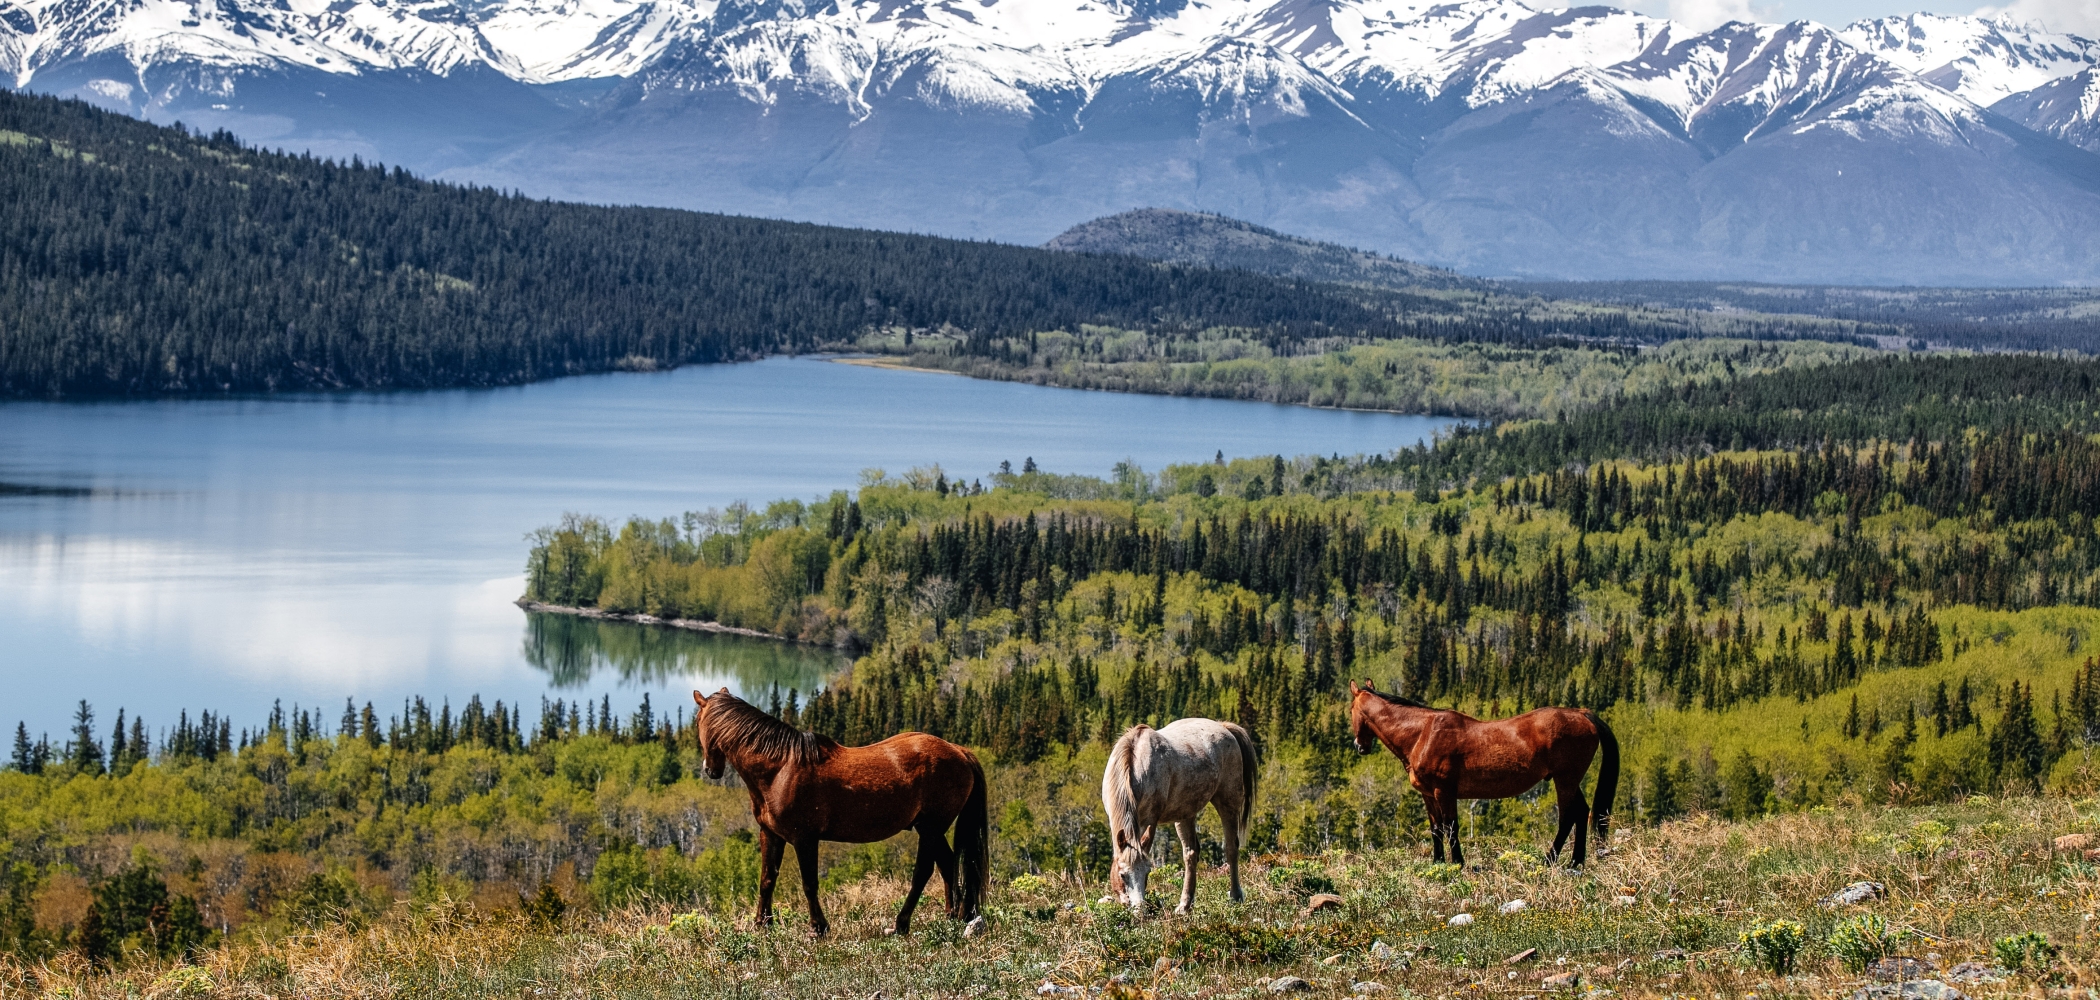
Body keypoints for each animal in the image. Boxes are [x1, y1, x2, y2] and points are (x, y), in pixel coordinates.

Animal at [688, 689, 982, 936]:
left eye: (697, 722)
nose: (710, 770)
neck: (780, 770)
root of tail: (959, 751)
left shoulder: (804, 839)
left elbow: (809, 883)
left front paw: (818, 928)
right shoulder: (770, 834)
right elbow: (767, 879)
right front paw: (762, 924)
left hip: (931, 828)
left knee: (923, 871)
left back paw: (901, 924)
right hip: (930, 828)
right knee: (947, 863)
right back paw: (953, 916)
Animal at [1108, 718, 1251, 915]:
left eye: (1147, 873)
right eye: (1123, 875)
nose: (1140, 911)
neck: (1134, 765)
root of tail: (1224, 727)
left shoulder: (1149, 820)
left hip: (1228, 802)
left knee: (1231, 847)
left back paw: (1235, 896)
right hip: (1185, 814)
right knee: (1191, 853)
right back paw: (1185, 904)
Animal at [1344, 680, 1621, 865]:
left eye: (1350, 710)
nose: (1359, 746)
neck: (1422, 734)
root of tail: (1583, 714)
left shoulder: (1444, 791)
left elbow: (1451, 827)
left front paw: (1457, 862)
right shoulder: (1428, 795)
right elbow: (1436, 829)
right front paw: (1438, 862)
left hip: (1565, 780)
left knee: (1567, 817)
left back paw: (1550, 860)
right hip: (1571, 780)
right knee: (1582, 812)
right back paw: (1576, 862)